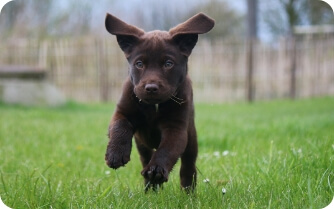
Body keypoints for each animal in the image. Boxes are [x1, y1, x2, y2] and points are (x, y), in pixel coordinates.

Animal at [104, 13, 214, 192]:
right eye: (139, 64)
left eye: (168, 64)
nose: (151, 88)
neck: (153, 107)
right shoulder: (123, 111)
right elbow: (120, 126)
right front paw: (115, 154)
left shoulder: (176, 128)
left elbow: (167, 149)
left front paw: (156, 170)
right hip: (142, 145)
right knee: (146, 158)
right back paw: (151, 190)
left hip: (191, 141)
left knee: (188, 168)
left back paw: (188, 192)